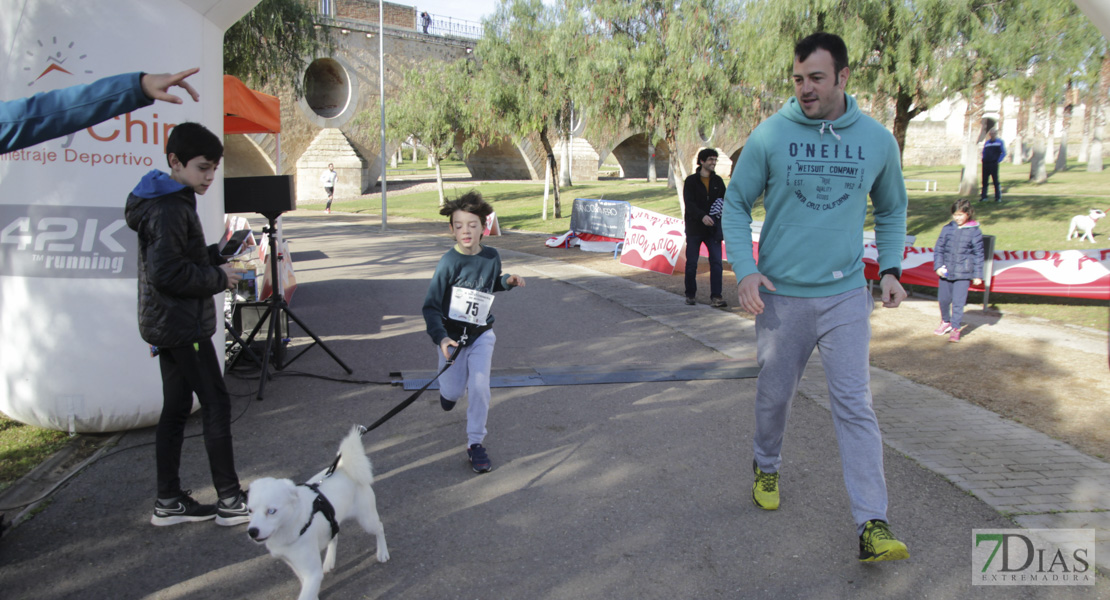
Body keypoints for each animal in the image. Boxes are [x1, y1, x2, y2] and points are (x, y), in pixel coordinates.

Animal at [248, 425, 390, 598]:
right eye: (249, 510)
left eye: (271, 511)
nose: (252, 531)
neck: (294, 523)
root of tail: (344, 467)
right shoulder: (294, 564)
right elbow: (305, 586)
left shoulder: (312, 572)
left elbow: (306, 593)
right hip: (333, 522)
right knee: (334, 536)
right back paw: (329, 561)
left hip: (366, 519)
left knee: (379, 528)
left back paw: (382, 552)